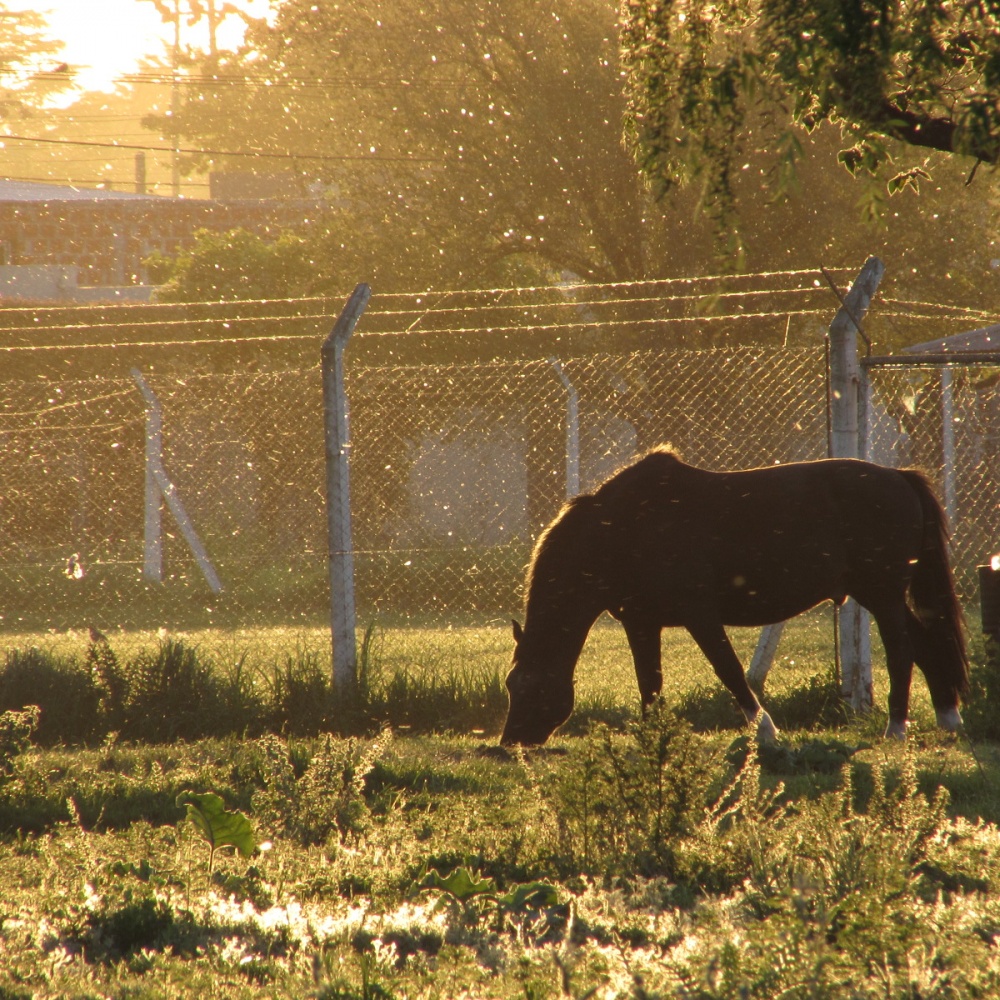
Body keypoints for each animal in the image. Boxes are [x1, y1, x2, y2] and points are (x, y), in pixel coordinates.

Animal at [500, 450, 968, 748]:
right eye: (510, 684)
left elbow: (729, 671)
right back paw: (947, 717)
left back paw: (896, 729)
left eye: (528, 684)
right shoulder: (641, 622)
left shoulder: (700, 616)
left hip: (882, 594)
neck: (625, 529)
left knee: (902, 650)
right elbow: (649, 683)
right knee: (926, 642)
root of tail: (899, 476)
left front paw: (766, 732)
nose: (510, 742)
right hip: (876, 594)